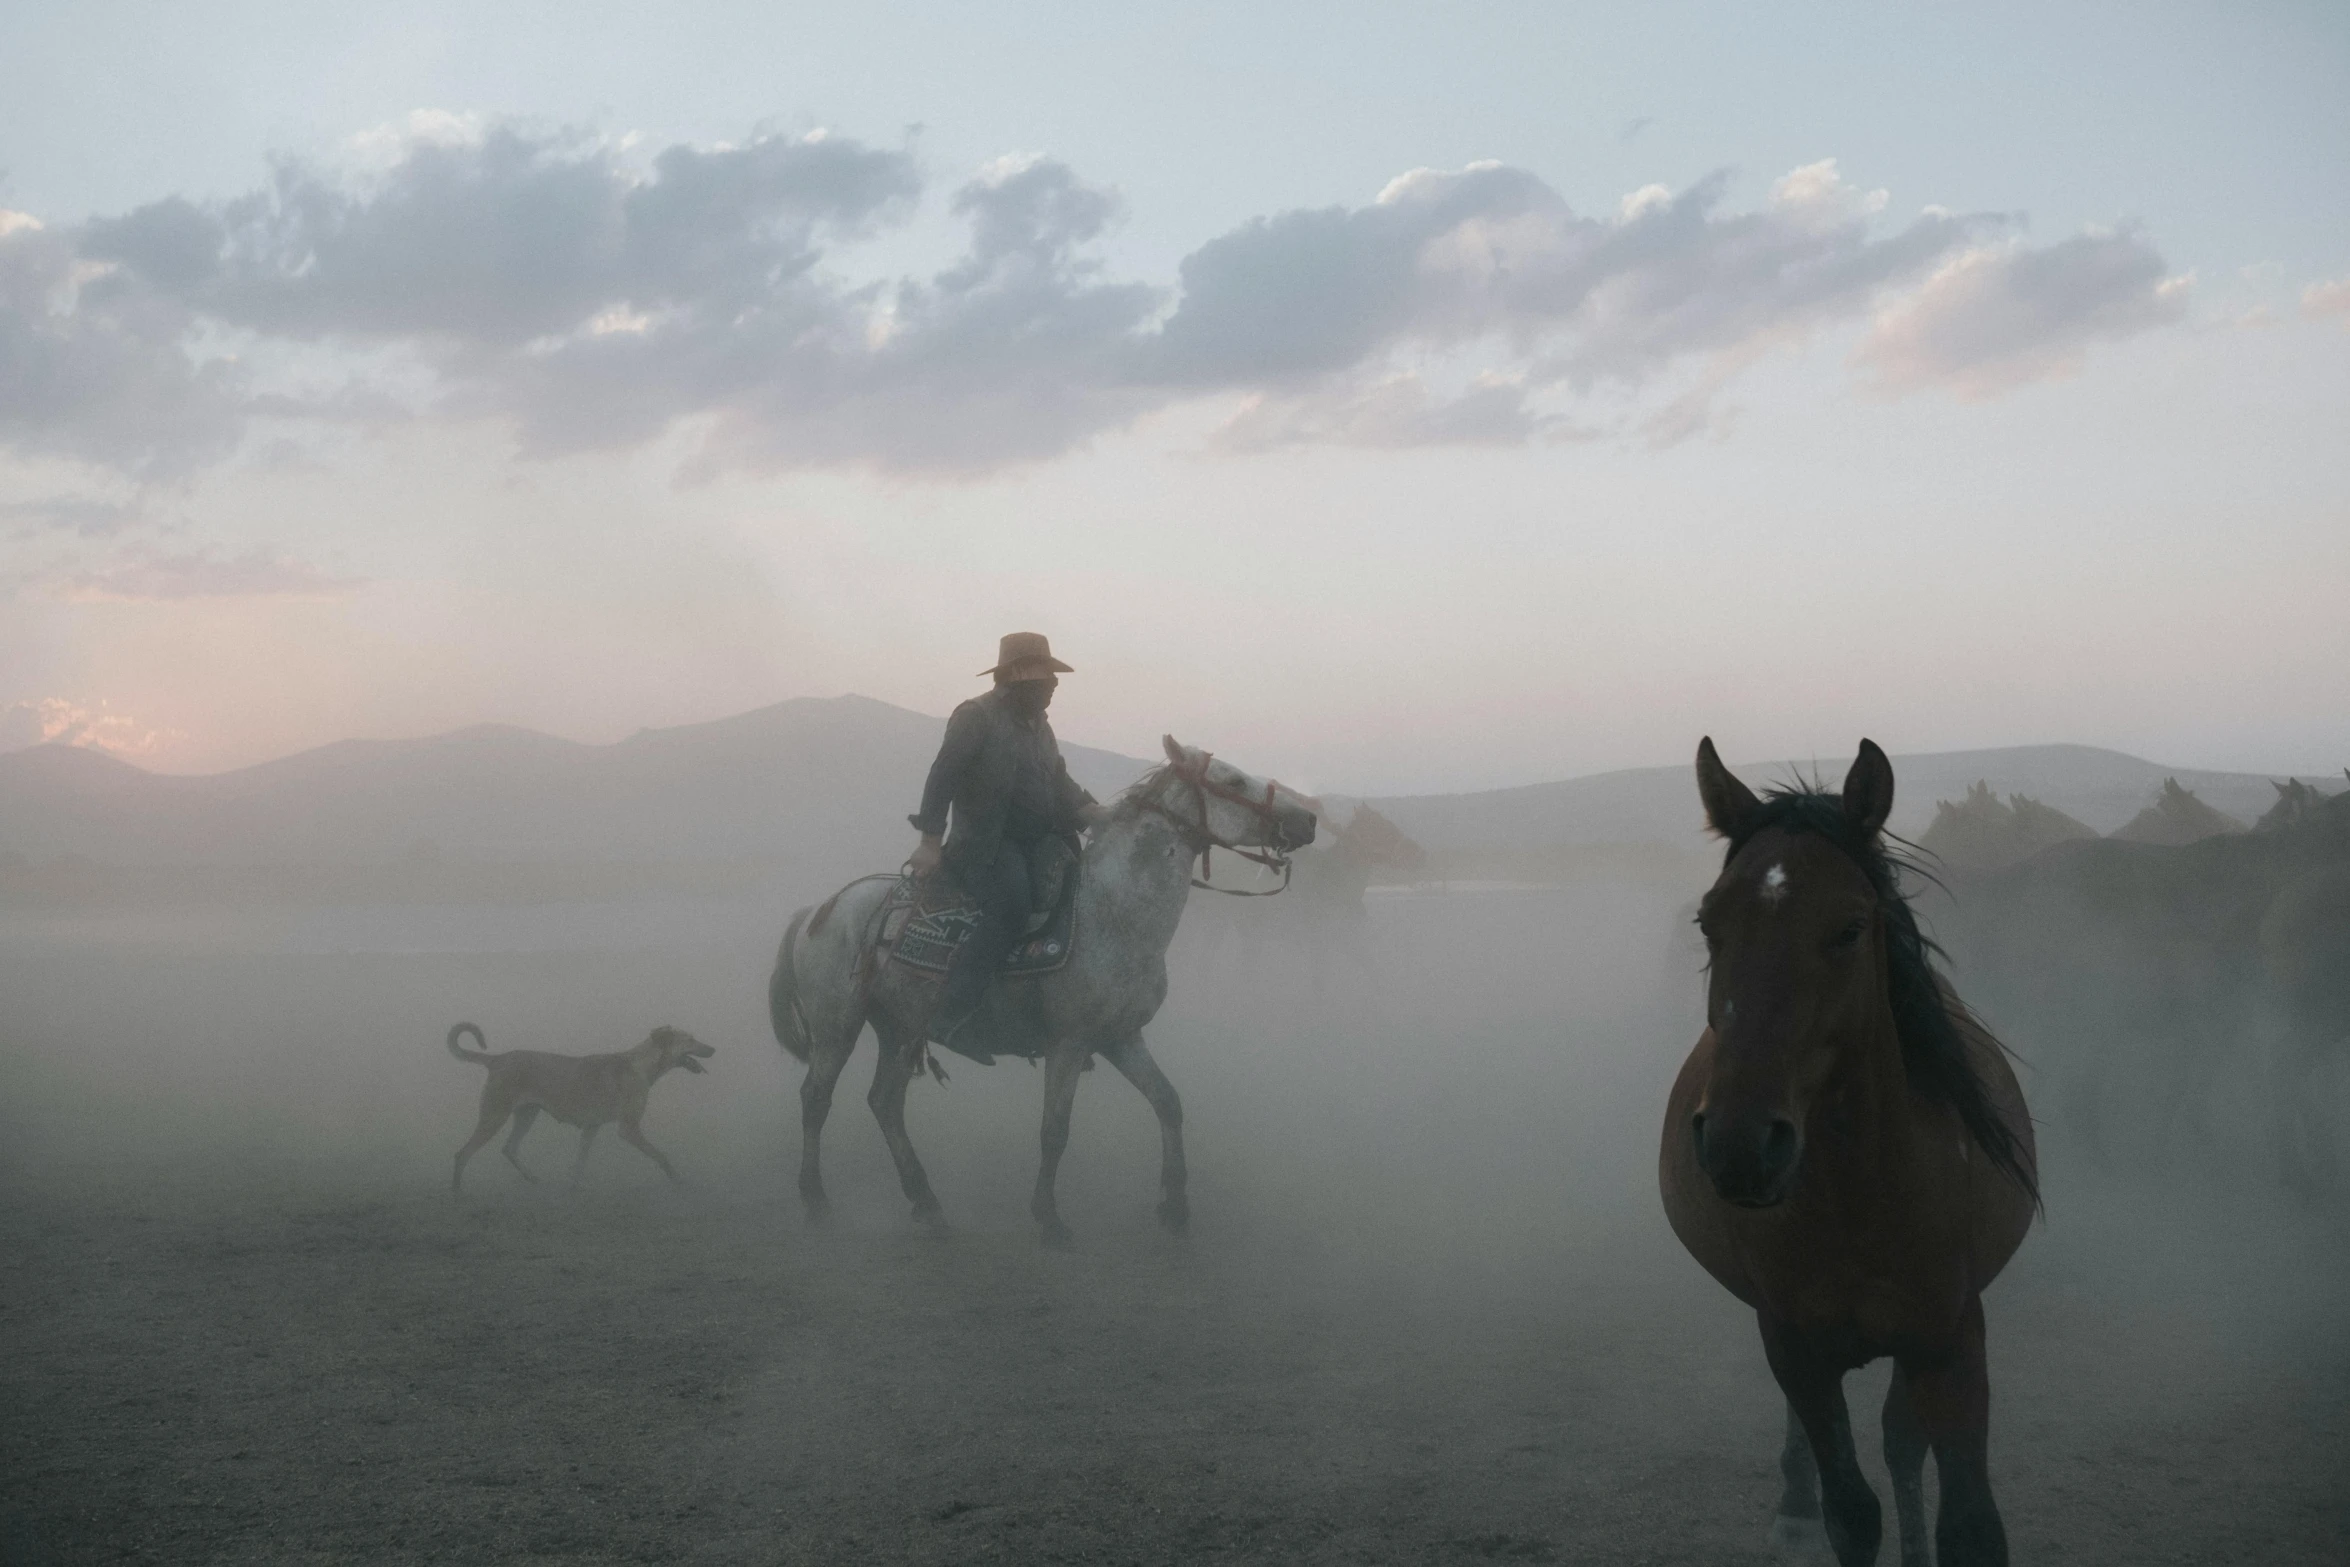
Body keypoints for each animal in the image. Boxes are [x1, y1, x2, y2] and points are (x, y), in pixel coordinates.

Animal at [444, 1024, 709, 1193]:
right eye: (690, 1040)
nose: (713, 1049)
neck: (641, 1065)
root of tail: (497, 1059)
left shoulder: (591, 1127)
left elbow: (580, 1162)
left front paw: (575, 1185)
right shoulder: (629, 1129)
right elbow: (661, 1155)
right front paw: (677, 1179)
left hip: (527, 1115)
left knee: (509, 1148)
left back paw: (533, 1179)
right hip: (494, 1116)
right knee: (463, 1153)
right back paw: (457, 1191)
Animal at [770, 737, 1325, 1249]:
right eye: (1233, 781)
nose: (1308, 820)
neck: (1113, 913)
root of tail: (820, 910)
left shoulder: (1122, 1038)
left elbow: (1168, 1102)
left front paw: (1175, 1207)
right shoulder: (1069, 1043)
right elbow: (1055, 1130)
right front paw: (1050, 1219)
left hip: (900, 1029)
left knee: (885, 1103)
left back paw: (927, 1204)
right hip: (837, 1028)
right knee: (816, 1099)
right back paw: (816, 1200)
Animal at [1654, 737, 2039, 1567]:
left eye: (1851, 927)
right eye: (1709, 923)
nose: (1740, 1143)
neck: (1863, 1192)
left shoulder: (1949, 1341)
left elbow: (1967, 1521)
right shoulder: (1796, 1346)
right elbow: (1851, 1511)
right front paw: (1814, 1507)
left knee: (1901, 1439)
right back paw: (1795, 1500)